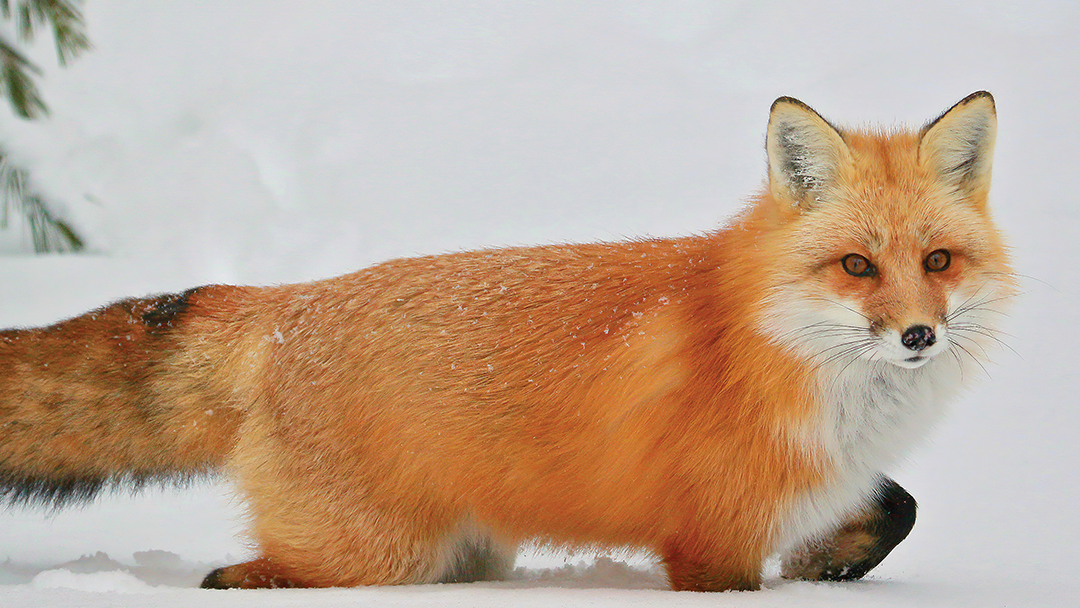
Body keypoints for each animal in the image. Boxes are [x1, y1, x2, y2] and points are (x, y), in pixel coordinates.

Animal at [0, 92, 1013, 592]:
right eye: (856, 266)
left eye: (937, 260)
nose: (919, 334)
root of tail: (287, 304)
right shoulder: (708, 545)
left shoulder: (819, 481)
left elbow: (896, 507)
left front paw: (826, 567)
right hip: (372, 556)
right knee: (241, 575)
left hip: (464, 551)